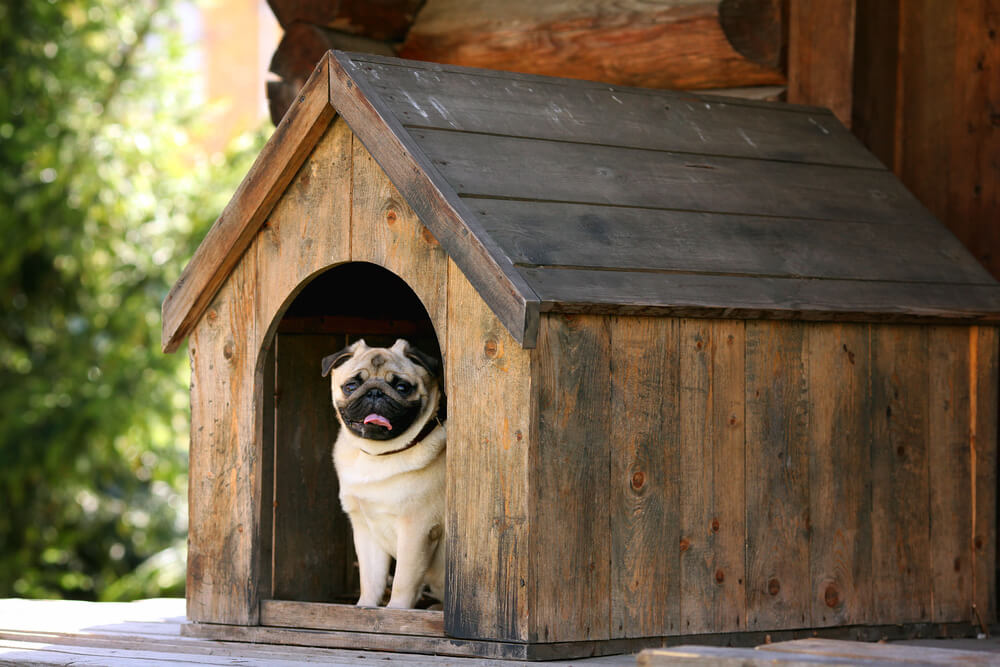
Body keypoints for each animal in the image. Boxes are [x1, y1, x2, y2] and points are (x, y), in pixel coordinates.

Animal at [320, 340, 446, 612]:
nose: (375, 392)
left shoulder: (416, 530)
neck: (378, 455)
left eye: (402, 387)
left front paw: (396, 612)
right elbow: (371, 580)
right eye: (351, 386)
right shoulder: (365, 529)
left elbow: (403, 581)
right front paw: (365, 607)